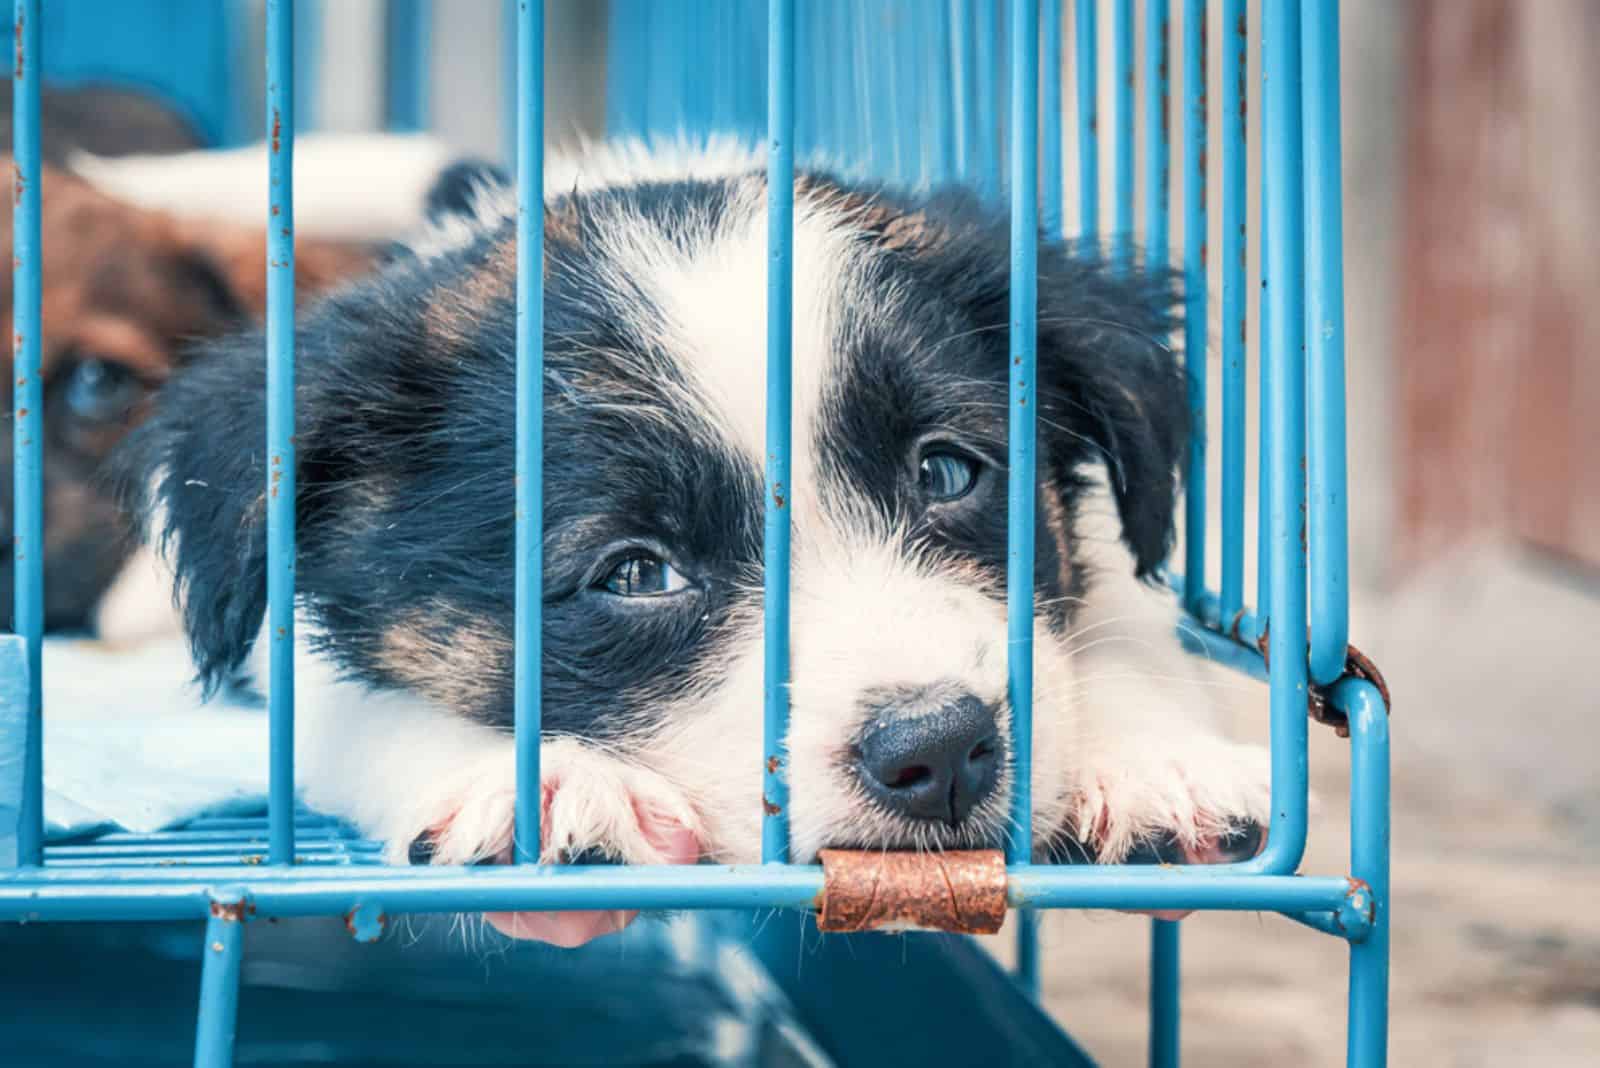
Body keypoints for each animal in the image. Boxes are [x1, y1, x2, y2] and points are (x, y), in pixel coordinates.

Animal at [128, 139, 1273, 895]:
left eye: (949, 470)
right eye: (635, 572)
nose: (941, 750)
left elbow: (1122, 638)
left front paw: (1155, 761)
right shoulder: (297, 673)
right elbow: (372, 714)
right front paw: (546, 779)